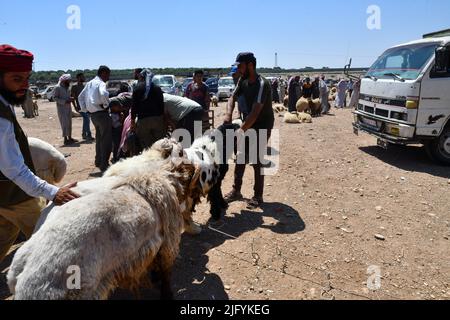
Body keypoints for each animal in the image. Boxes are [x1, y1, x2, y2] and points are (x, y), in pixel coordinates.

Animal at [7, 156, 216, 302]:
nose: (208, 188)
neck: (165, 181)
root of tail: (21, 278)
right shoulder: (168, 243)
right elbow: (166, 274)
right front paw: (166, 293)